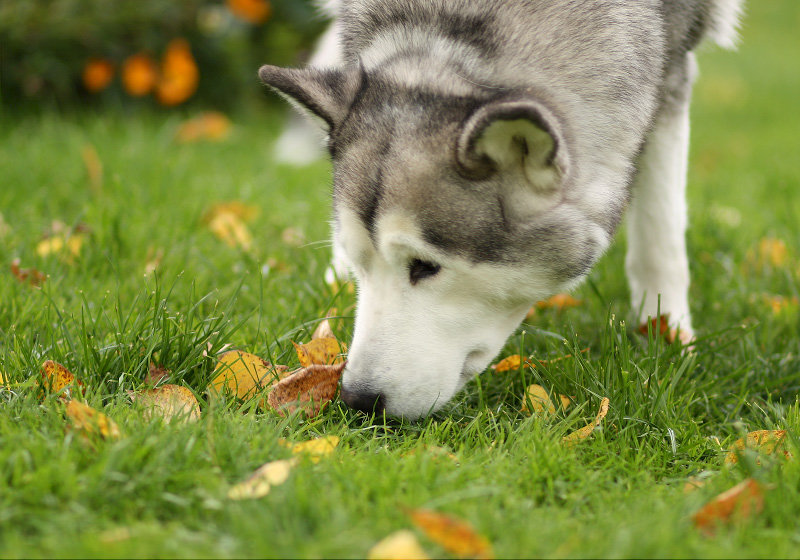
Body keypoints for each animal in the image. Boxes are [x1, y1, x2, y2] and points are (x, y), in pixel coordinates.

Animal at [260, 0, 744, 420]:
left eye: (424, 266)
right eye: (363, 263)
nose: (358, 401)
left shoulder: (671, 68)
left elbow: (659, 233)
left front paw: (666, 334)